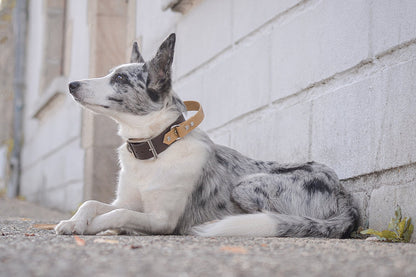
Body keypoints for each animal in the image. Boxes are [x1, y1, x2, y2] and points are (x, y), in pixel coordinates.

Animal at [55, 33, 358, 236]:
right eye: (111, 74)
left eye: (119, 79)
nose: (72, 84)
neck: (154, 150)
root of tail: (345, 197)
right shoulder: (127, 200)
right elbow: (92, 203)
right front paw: (74, 221)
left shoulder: (161, 219)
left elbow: (117, 214)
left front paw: (96, 227)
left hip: (246, 185)